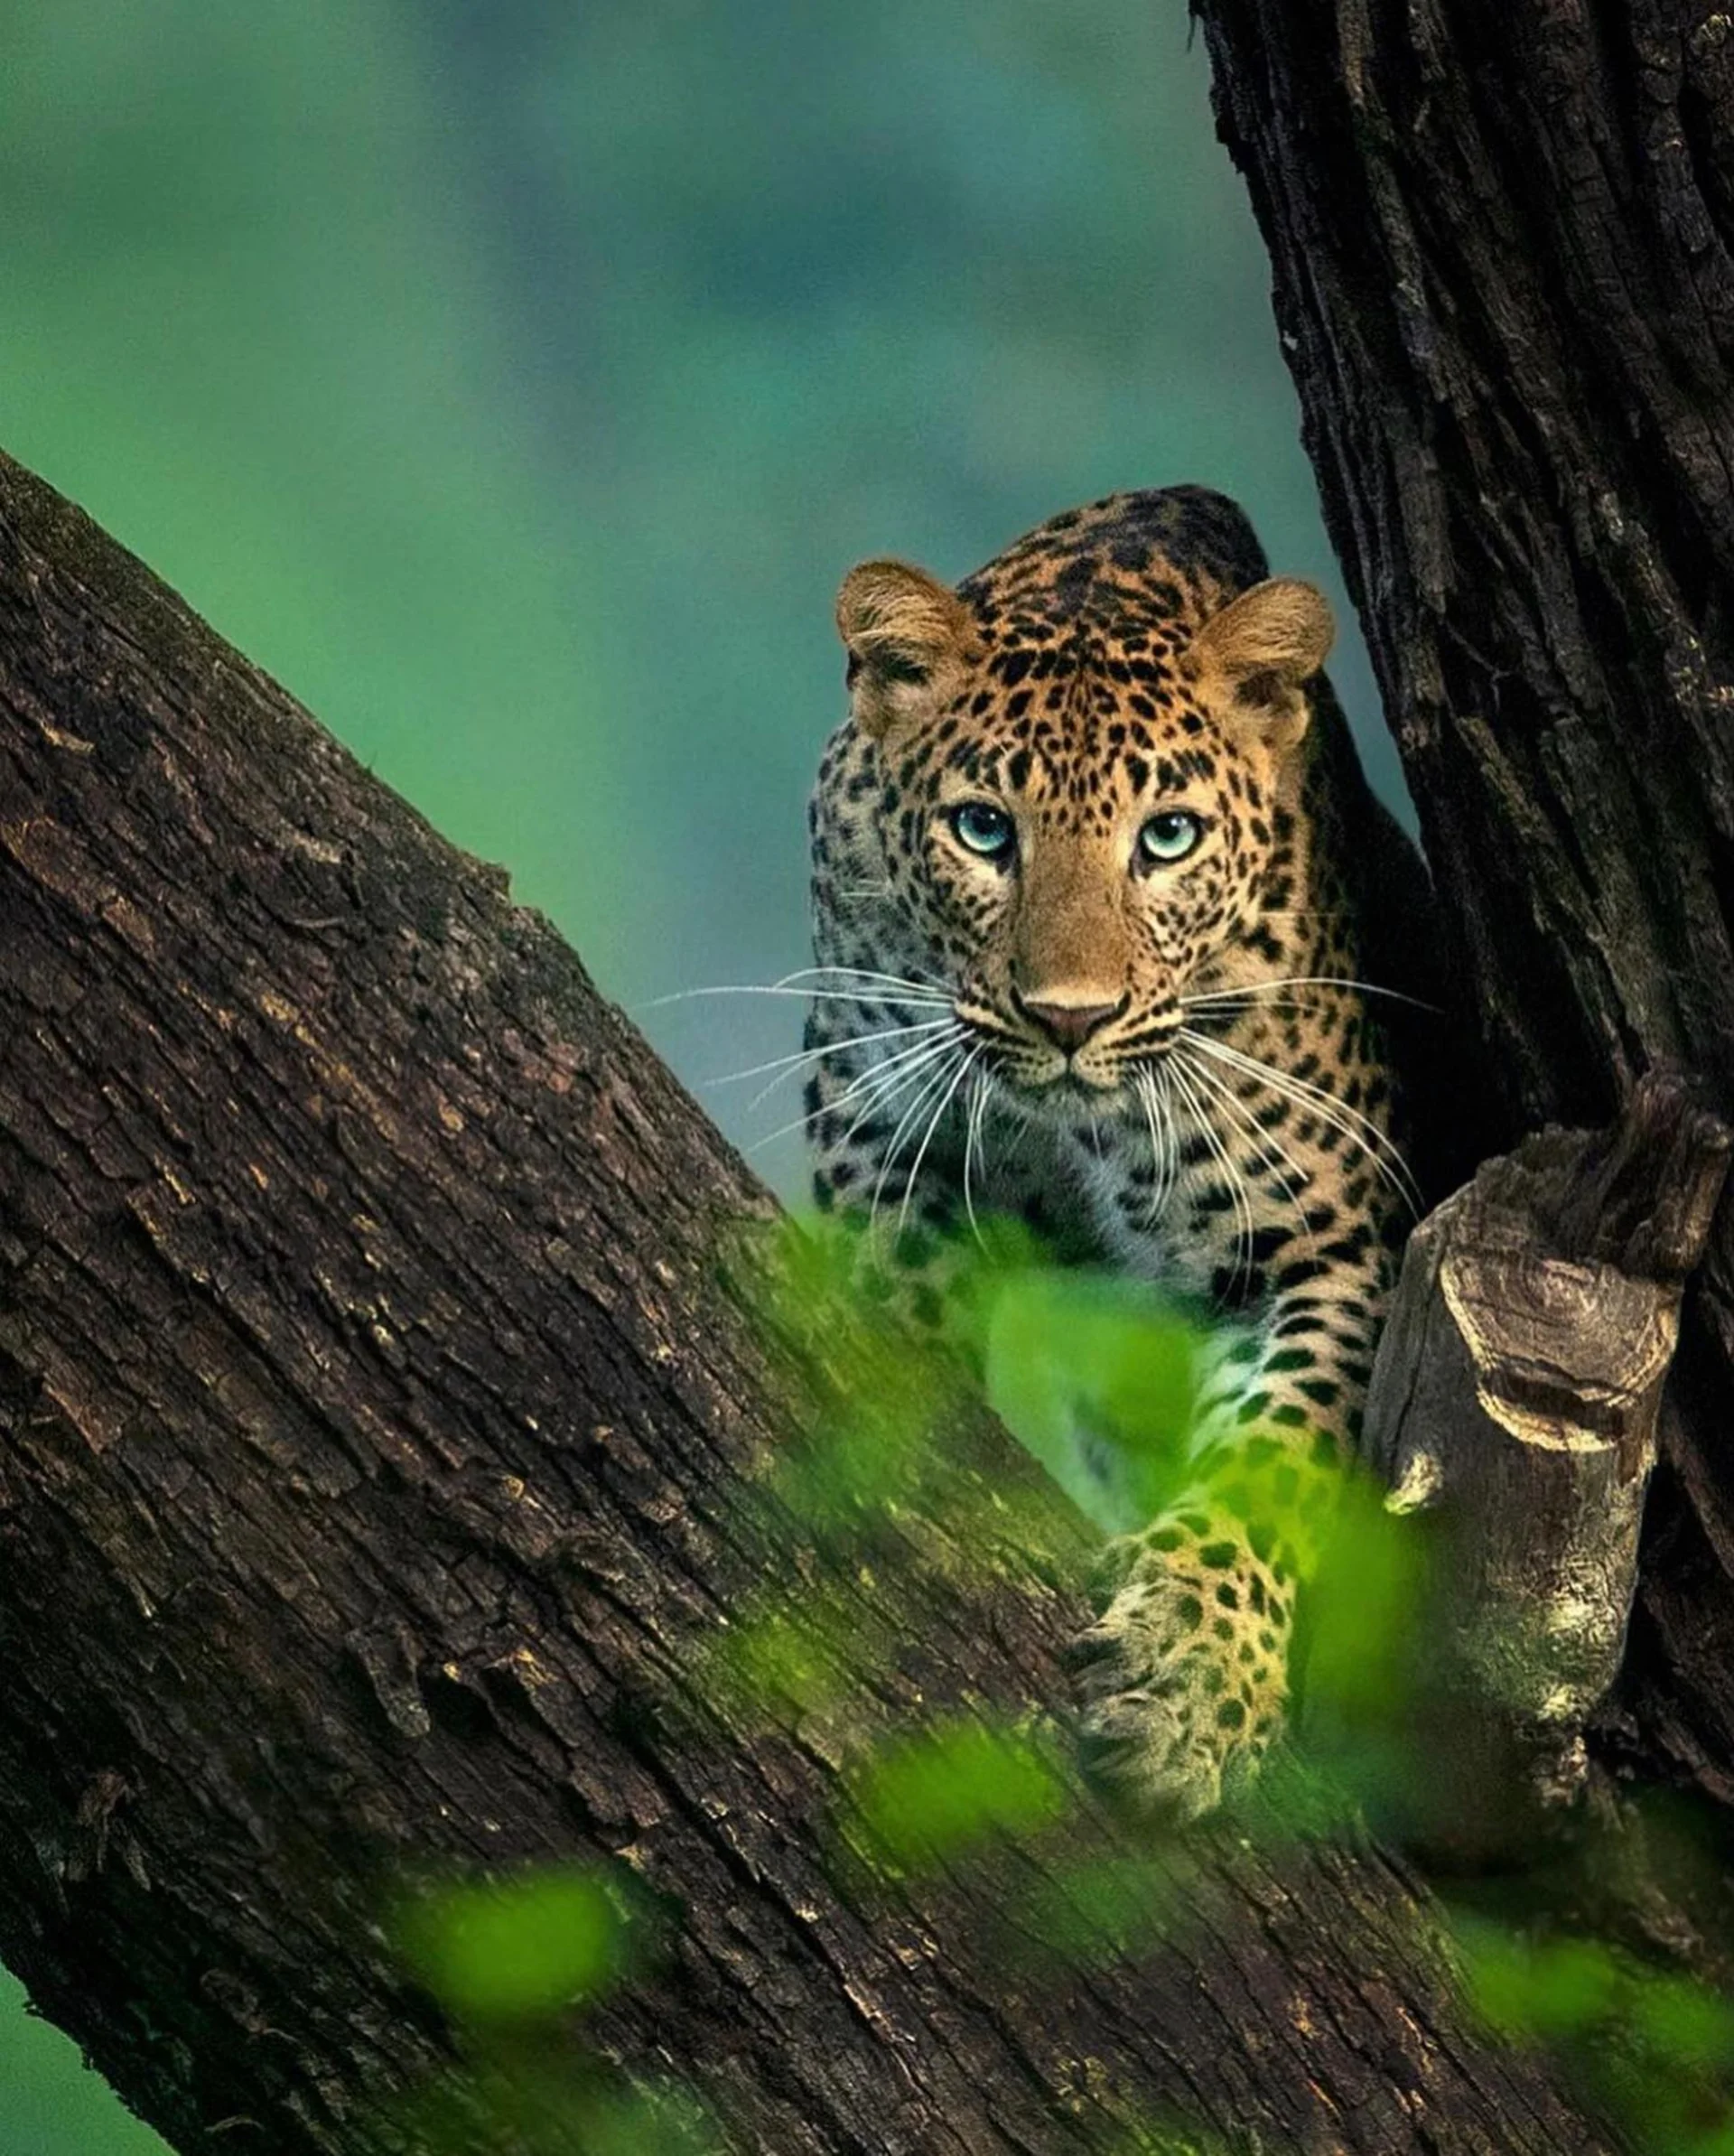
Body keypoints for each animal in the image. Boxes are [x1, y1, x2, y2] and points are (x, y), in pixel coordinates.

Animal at [802, 486, 1451, 1820]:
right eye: (983, 829)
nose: (1069, 1017)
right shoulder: (881, 1150)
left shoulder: (1325, 1243)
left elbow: (1272, 1458)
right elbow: (898, 1334)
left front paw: (1191, 1682)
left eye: (1167, 837)